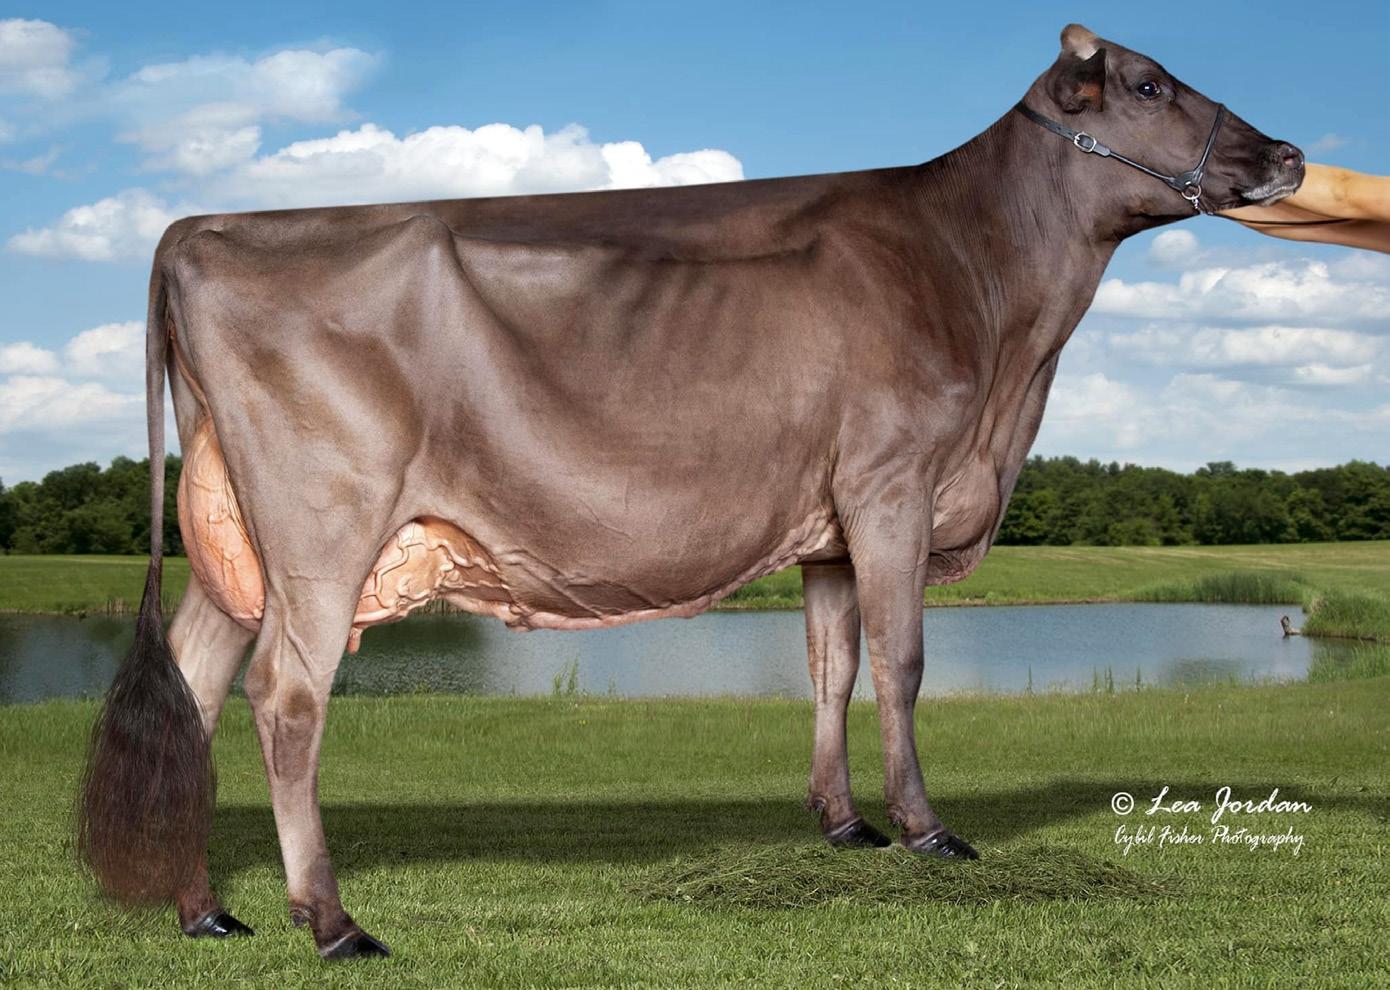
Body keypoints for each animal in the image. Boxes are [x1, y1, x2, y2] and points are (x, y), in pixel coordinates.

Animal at [78, 24, 1303, 959]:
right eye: (1149, 86)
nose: (1289, 152)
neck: (997, 319)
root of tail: (197, 227)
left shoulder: (828, 524)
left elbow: (830, 664)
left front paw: (843, 825)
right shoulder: (894, 481)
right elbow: (902, 664)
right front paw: (927, 832)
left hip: (235, 540)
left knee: (193, 682)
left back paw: (204, 910)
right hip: (323, 524)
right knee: (285, 695)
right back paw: (331, 922)